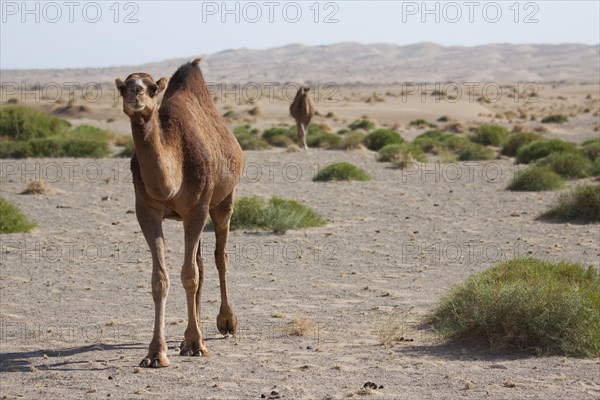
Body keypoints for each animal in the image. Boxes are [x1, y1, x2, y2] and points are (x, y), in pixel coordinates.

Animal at [115, 57, 244, 368]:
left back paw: (225, 322)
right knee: (200, 261)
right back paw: (188, 336)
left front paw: (197, 344)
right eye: (123, 87)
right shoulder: (146, 211)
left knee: (219, 257)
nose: (135, 93)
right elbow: (160, 279)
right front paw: (156, 353)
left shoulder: (197, 209)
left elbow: (190, 275)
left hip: (223, 200)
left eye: (152, 87)